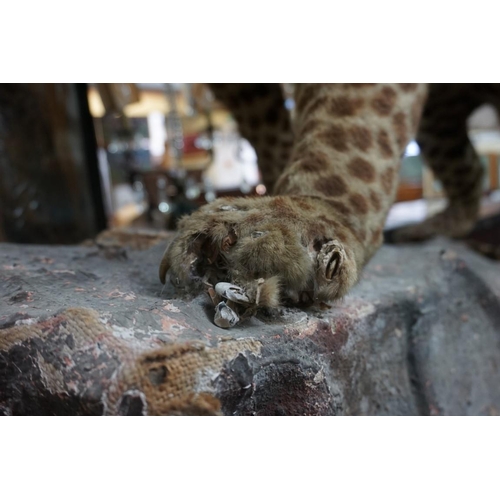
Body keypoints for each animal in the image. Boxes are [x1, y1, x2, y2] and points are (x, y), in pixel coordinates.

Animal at [160, 84, 492, 328]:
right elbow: (271, 135)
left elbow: (347, 133)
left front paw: (289, 220)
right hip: (439, 118)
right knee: (470, 168)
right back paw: (436, 227)